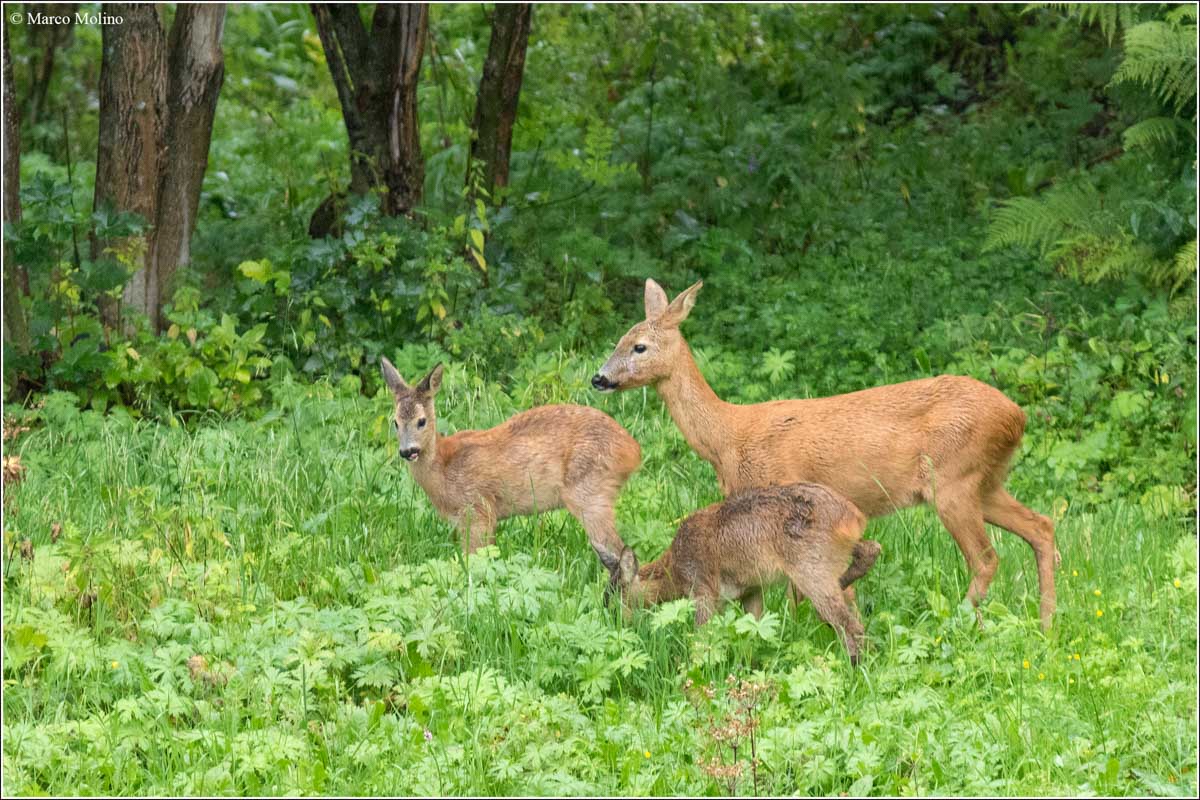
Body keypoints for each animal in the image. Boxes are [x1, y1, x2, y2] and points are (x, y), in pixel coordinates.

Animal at [384, 362, 648, 594]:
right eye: (395, 422)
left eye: (421, 421)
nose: (407, 451)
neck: (444, 469)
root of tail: (633, 450)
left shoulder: (478, 510)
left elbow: (475, 558)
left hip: (589, 491)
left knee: (617, 550)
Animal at [592, 278, 1060, 628]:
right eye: (618, 340)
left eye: (639, 347)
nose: (599, 378)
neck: (728, 437)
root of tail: (1017, 416)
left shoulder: (782, 494)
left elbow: (796, 590)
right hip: (985, 480)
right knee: (1041, 526)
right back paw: (1046, 624)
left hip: (952, 479)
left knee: (986, 558)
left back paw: (960, 622)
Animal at [619, 482, 883, 662]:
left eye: (616, 596)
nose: (620, 625)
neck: (673, 568)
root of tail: (852, 517)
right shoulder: (751, 590)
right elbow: (753, 628)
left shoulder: (702, 588)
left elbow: (702, 637)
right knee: (871, 550)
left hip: (810, 567)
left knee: (848, 623)